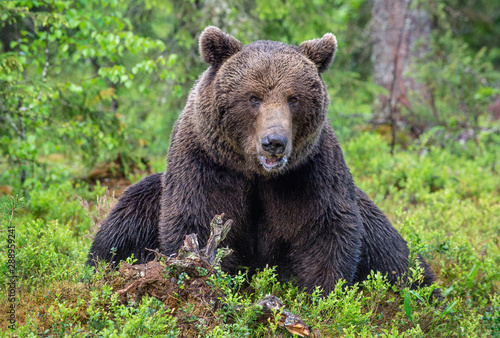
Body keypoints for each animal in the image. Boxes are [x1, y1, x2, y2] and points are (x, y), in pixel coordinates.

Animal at [88, 26, 436, 294]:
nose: (274, 143)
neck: (255, 174)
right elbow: (198, 223)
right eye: (253, 97)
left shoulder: (308, 174)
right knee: (120, 230)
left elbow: (325, 231)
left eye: (294, 98)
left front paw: (321, 294)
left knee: (398, 260)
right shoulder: (205, 165)